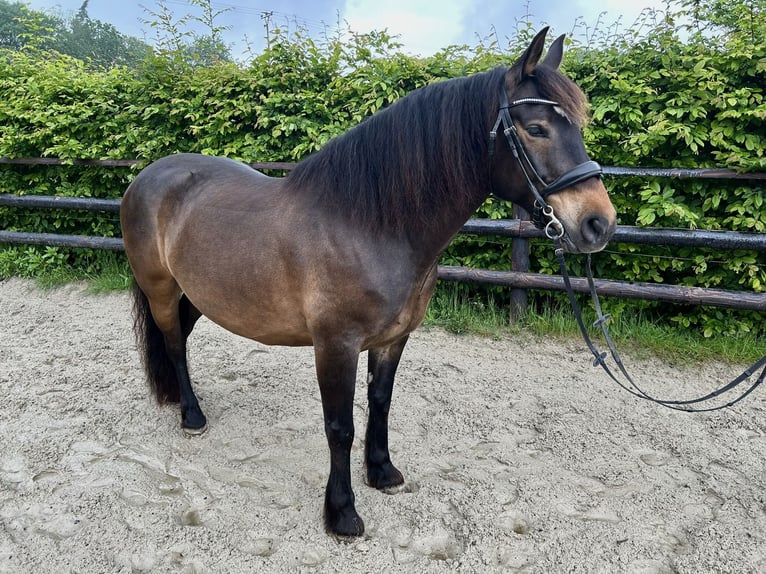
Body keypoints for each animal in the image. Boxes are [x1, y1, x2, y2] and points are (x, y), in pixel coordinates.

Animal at [123, 27, 620, 540]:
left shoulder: (392, 339)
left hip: (198, 294)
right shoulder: (335, 345)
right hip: (162, 289)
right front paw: (341, 512)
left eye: (578, 127)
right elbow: (339, 426)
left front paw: (382, 471)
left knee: (180, 339)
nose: (599, 223)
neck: (367, 226)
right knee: (173, 343)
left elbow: (380, 402)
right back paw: (191, 414)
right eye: (536, 128)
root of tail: (148, 175)